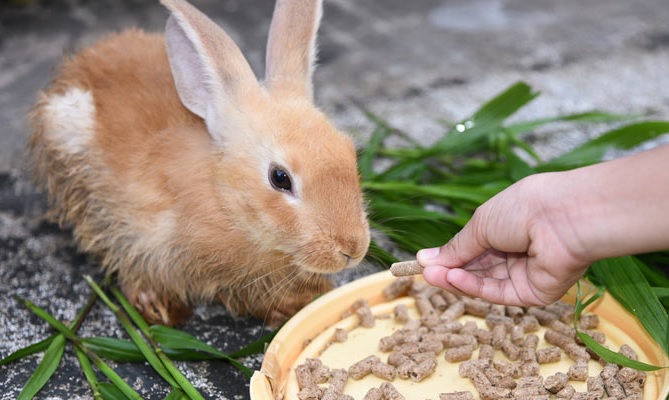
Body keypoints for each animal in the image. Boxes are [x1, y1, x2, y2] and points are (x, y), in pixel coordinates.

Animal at [27, 0, 370, 326]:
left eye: (350, 152)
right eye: (280, 178)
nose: (352, 249)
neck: (223, 196)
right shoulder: (135, 233)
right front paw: (159, 308)